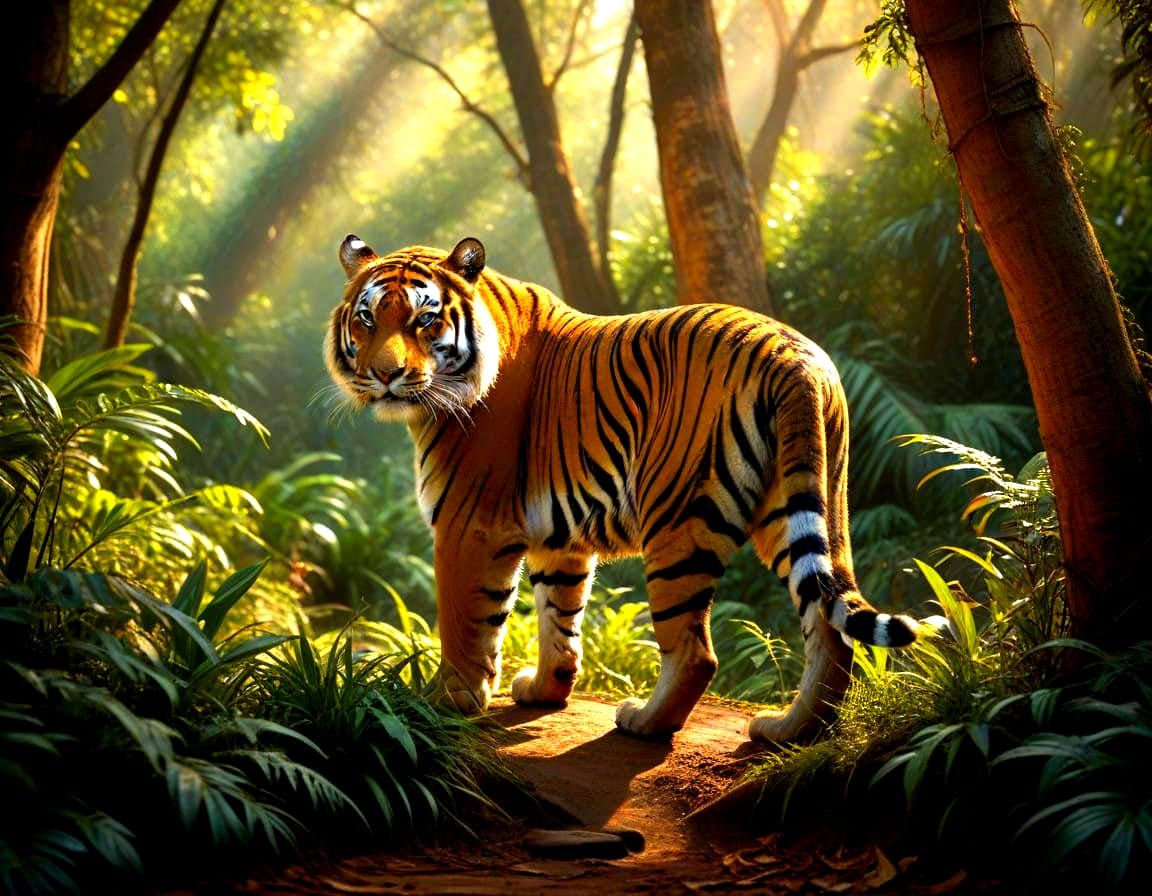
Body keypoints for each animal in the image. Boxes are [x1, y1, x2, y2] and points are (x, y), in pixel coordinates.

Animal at [325, 235, 919, 742]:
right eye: (367, 317)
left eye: (425, 320)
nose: (385, 375)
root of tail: (790, 351)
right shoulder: (556, 537)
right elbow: (558, 616)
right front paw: (545, 690)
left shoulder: (468, 525)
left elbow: (465, 624)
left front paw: (443, 705)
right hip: (804, 503)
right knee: (829, 624)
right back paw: (792, 730)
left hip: (679, 521)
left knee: (696, 651)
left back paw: (645, 721)